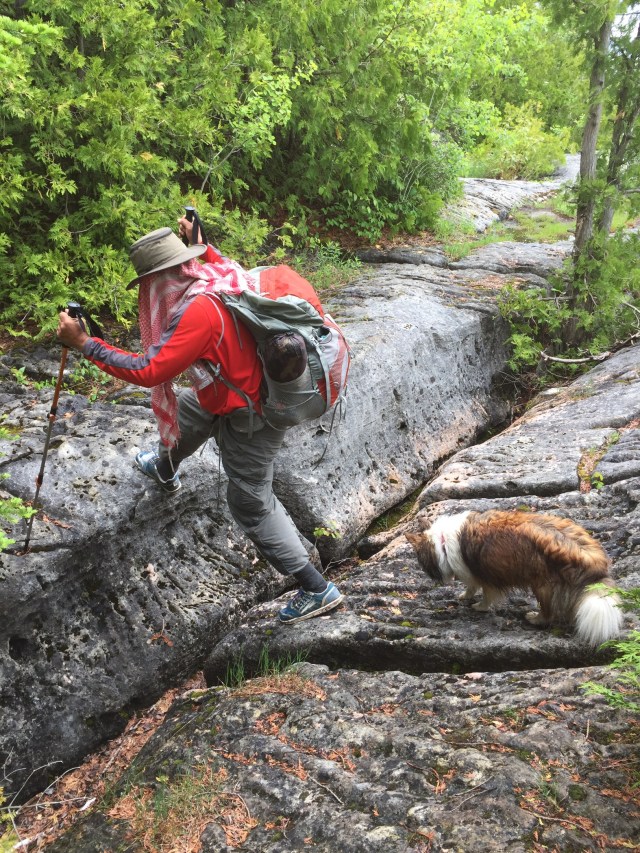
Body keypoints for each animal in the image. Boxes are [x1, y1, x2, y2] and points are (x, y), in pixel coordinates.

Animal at [405, 510, 623, 647]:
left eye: (420, 560)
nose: (432, 578)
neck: (442, 542)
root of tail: (589, 557)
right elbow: (471, 587)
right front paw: (465, 596)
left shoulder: (483, 576)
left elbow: (483, 592)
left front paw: (479, 606)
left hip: (542, 585)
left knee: (549, 612)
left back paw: (534, 618)